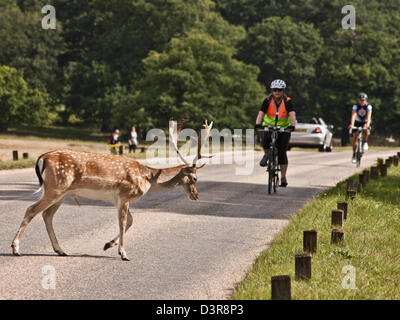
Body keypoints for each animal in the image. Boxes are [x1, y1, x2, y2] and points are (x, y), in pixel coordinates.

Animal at [10, 119, 212, 260]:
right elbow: (123, 223)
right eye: (194, 178)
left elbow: (130, 221)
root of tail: (42, 158)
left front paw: (107, 245)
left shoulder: (118, 200)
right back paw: (15, 249)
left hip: (62, 193)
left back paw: (61, 250)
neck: (147, 178)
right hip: (55, 187)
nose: (196, 195)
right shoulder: (124, 196)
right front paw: (123, 254)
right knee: (31, 209)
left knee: (47, 215)